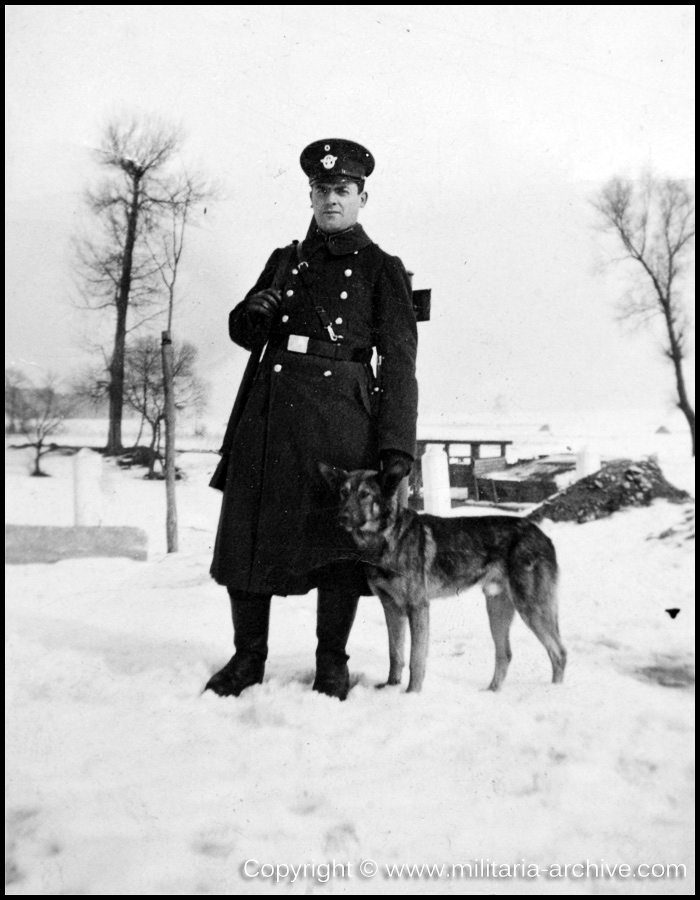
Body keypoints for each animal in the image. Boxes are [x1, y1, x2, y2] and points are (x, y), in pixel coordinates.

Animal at [320, 460, 568, 692]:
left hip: (531, 608)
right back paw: (491, 692)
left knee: (559, 653)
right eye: (343, 492)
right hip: (497, 608)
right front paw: (391, 687)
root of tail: (541, 534)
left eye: (365, 494)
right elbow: (395, 655)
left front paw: (411, 694)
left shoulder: (418, 608)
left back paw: (554, 692)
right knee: (505, 654)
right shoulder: (391, 608)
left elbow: (416, 659)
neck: (387, 537)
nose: (341, 517)